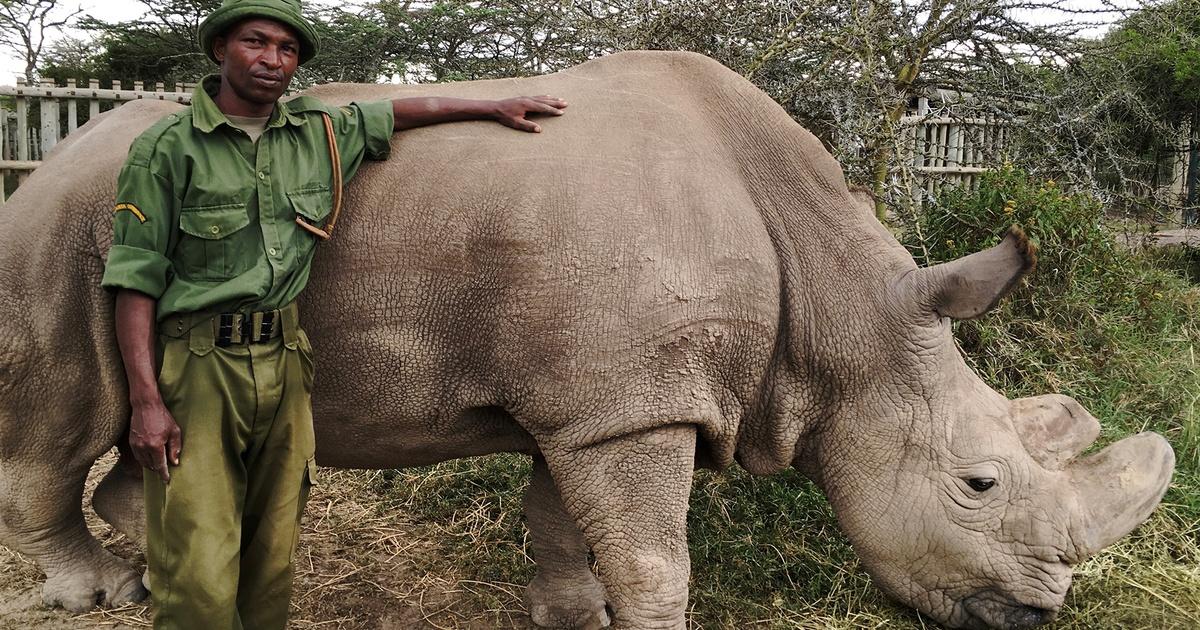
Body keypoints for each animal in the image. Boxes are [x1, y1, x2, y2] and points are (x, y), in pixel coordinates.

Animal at [0, 50, 1176, 628]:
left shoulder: (601, 404)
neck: (847, 316)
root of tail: (45, 166)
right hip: (66, 229)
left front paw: (573, 616)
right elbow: (659, 561)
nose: (1036, 619)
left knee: (142, 437)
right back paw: (96, 596)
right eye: (979, 485)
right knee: (66, 418)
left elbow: (567, 525)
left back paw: (155, 575)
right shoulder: (629, 410)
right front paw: (638, 618)